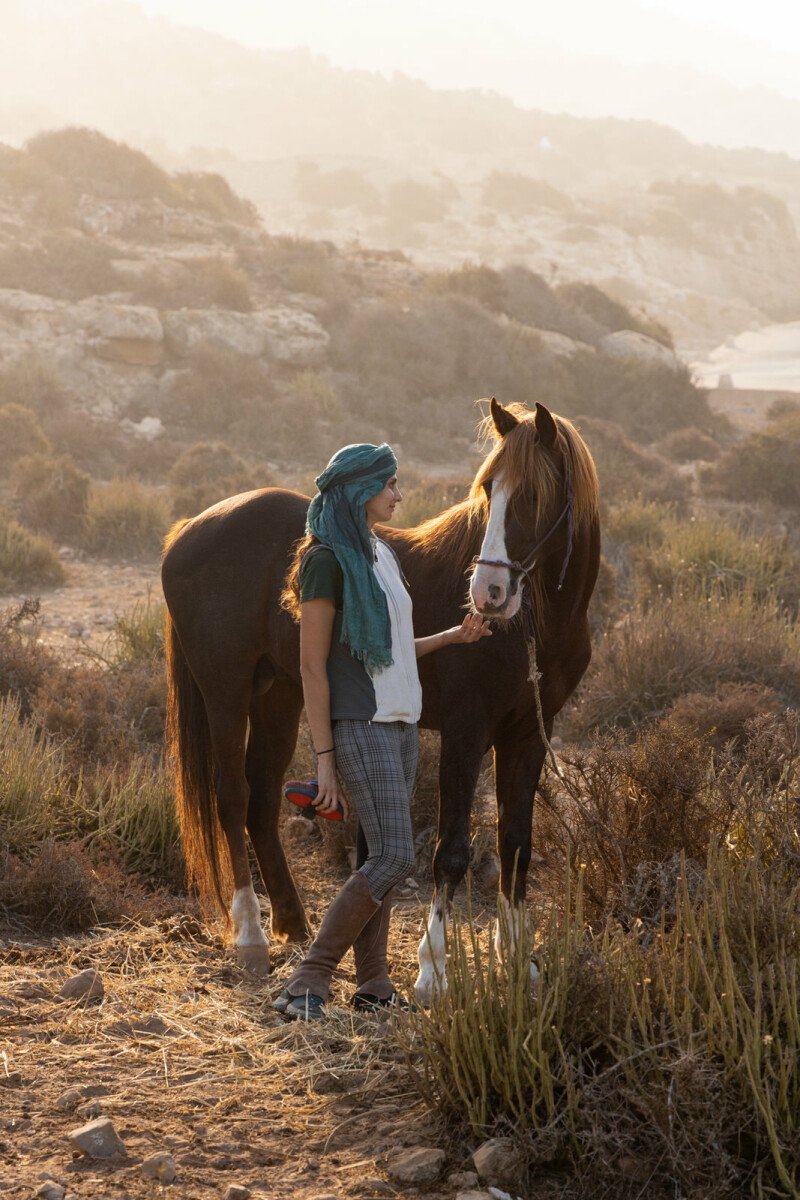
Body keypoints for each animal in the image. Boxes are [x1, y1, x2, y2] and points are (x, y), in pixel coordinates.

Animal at [163, 398, 597, 998]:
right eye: (489, 490)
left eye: (533, 495)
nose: (487, 595)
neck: (535, 628)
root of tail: (190, 527)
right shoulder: (466, 732)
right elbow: (450, 852)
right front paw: (432, 970)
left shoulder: (530, 732)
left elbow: (516, 842)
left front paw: (517, 960)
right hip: (225, 693)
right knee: (231, 798)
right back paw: (251, 936)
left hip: (280, 697)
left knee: (262, 803)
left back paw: (295, 924)